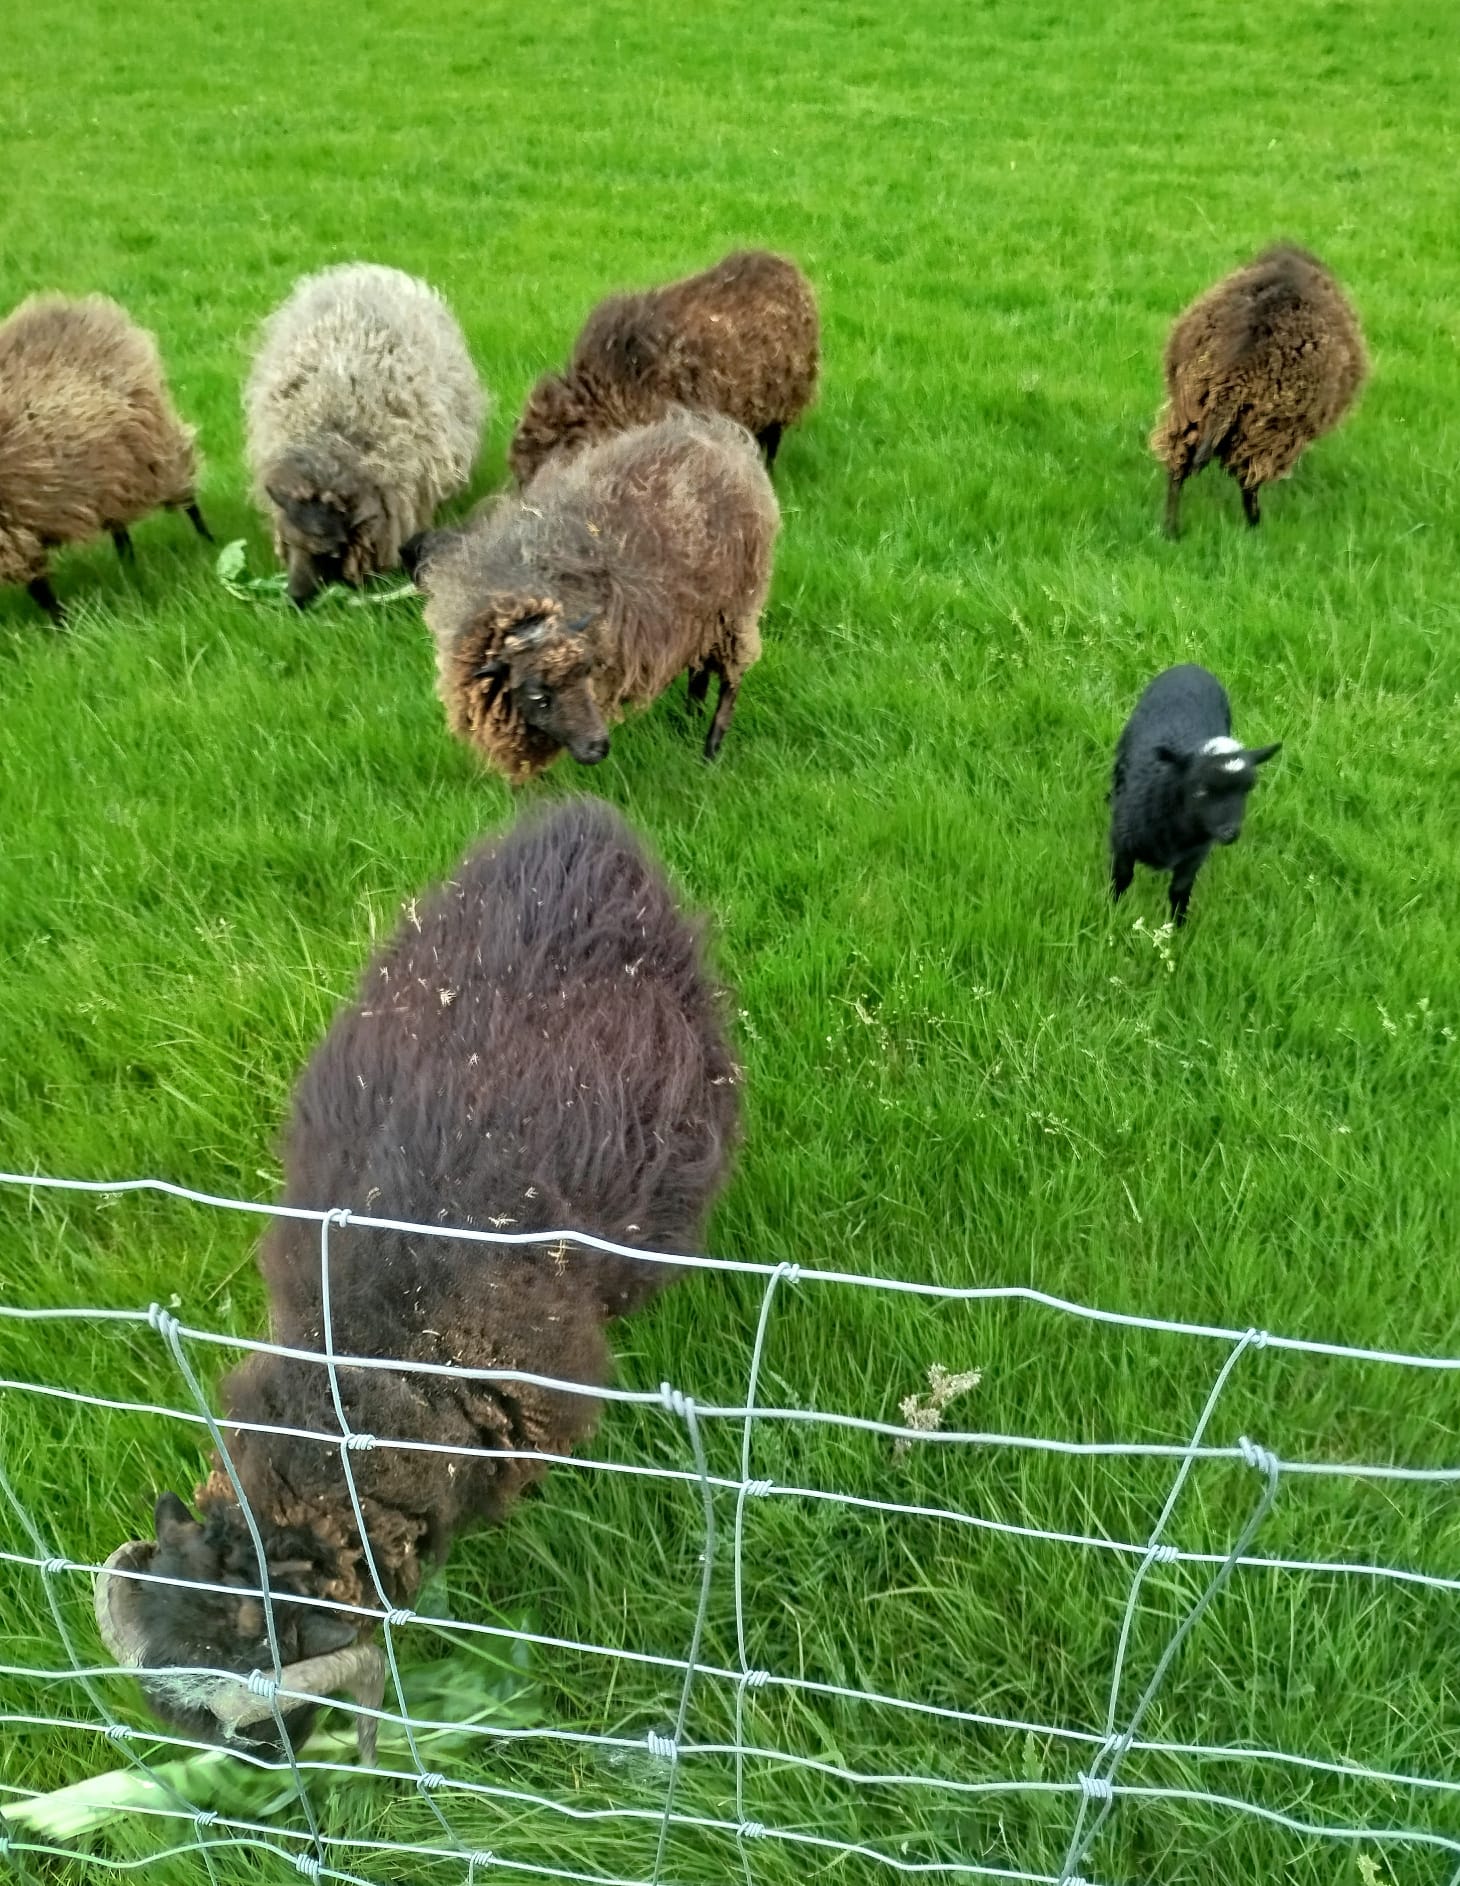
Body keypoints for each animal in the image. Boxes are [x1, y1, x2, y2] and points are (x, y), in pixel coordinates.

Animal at [0, 294, 210, 625]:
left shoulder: (10, 534)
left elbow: (40, 590)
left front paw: (62, 626)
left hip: (156, 449)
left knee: (187, 496)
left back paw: (207, 540)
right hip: (113, 471)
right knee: (119, 525)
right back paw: (129, 563)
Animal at [408, 407, 780, 781]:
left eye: (586, 673)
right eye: (538, 695)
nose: (598, 747)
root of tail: (721, 437)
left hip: (737, 608)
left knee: (731, 679)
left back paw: (710, 750)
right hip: (702, 614)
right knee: (700, 667)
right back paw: (690, 717)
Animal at [1110, 664, 1281, 926]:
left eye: (1247, 789)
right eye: (1200, 790)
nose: (1230, 833)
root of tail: (1191, 666)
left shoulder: (1194, 856)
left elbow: (1180, 890)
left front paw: (1177, 926)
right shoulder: (1122, 840)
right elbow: (1122, 876)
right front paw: (1112, 910)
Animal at [1151, 244, 1368, 536]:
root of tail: (1235, 372)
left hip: (1188, 409)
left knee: (1177, 468)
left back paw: (1171, 530)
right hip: (1267, 429)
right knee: (1248, 482)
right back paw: (1255, 527)